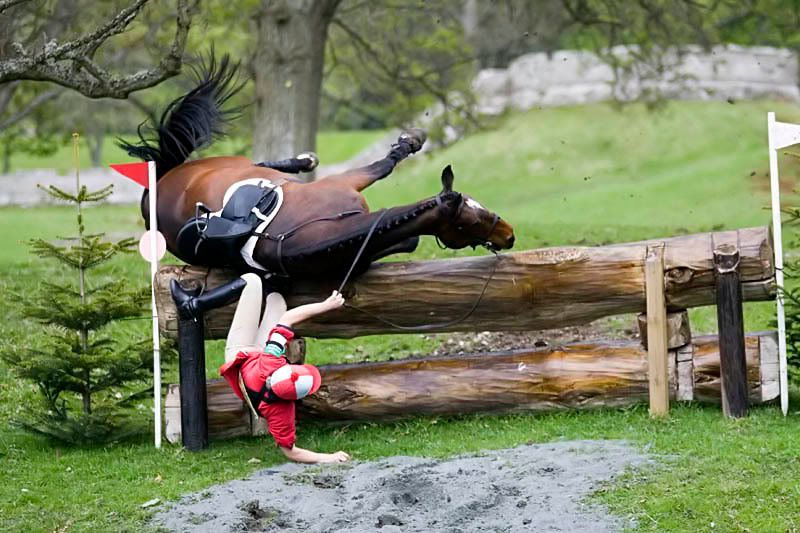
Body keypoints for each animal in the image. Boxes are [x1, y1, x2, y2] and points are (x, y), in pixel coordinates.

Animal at [119, 55, 515, 284]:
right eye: (468, 219)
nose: (509, 234)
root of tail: (161, 177)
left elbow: (407, 231)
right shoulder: (346, 182)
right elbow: (385, 166)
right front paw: (410, 139)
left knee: (263, 163)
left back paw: (303, 160)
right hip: (229, 165)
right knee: (261, 163)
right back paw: (305, 160)